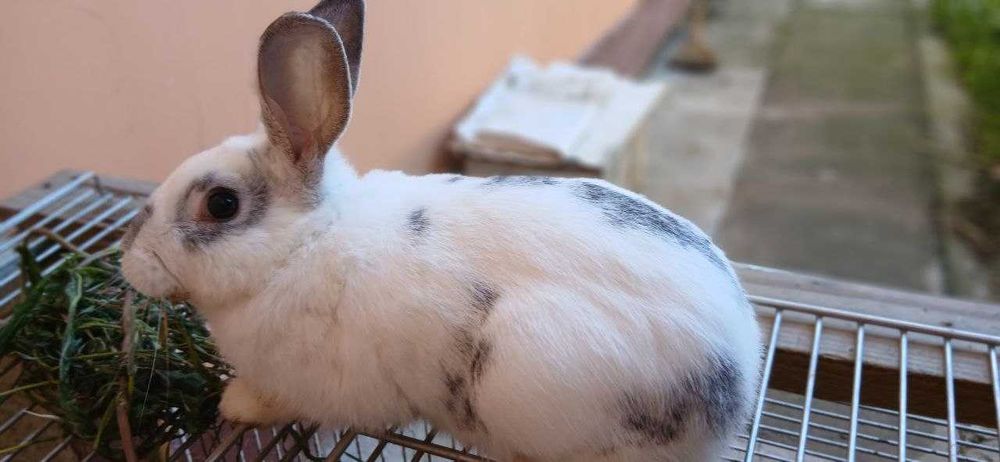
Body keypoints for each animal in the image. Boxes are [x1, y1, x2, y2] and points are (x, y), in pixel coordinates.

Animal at [119, 1, 762, 461]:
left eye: (220, 204)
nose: (129, 260)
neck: (305, 245)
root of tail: (737, 385)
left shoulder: (304, 383)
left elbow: (270, 400)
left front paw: (235, 404)